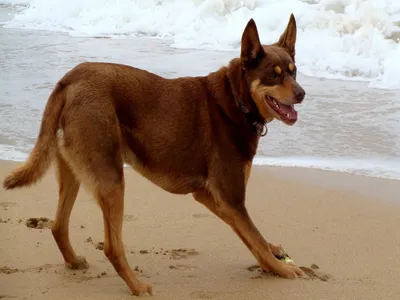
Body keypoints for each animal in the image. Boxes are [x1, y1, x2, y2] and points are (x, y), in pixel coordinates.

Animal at [3, 13, 306, 296]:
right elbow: (254, 237)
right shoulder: (230, 197)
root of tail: (69, 79)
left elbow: (254, 240)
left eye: (294, 72)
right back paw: (136, 286)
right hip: (112, 180)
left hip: (74, 172)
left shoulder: (211, 196)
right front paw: (283, 269)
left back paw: (75, 262)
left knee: (57, 225)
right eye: (274, 74)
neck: (236, 100)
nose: (302, 93)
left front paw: (273, 258)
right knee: (112, 247)